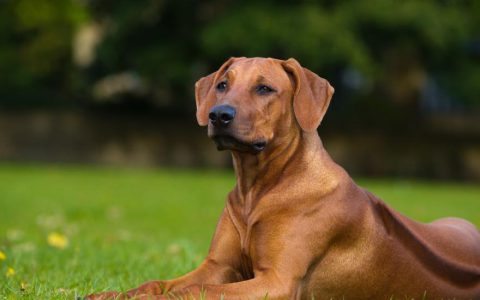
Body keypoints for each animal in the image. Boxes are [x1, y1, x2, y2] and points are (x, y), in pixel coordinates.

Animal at [86, 57, 480, 298]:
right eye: (222, 85)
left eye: (265, 88)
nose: (218, 114)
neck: (258, 188)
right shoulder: (219, 265)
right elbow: (159, 283)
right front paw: (112, 294)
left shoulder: (276, 281)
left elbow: (195, 292)